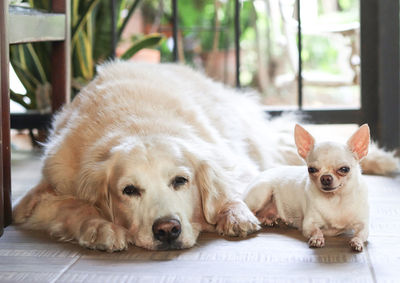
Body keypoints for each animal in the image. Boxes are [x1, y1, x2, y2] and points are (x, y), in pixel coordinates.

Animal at [245, 124, 370, 253]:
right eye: (311, 169)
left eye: (344, 169)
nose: (325, 178)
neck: (335, 199)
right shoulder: (309, 224)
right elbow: (316, 230)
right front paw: (317, 239)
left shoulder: (363, 224)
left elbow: (360, 234)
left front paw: (357, 241)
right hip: (263, 190)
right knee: (251, 211)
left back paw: (270, 220)